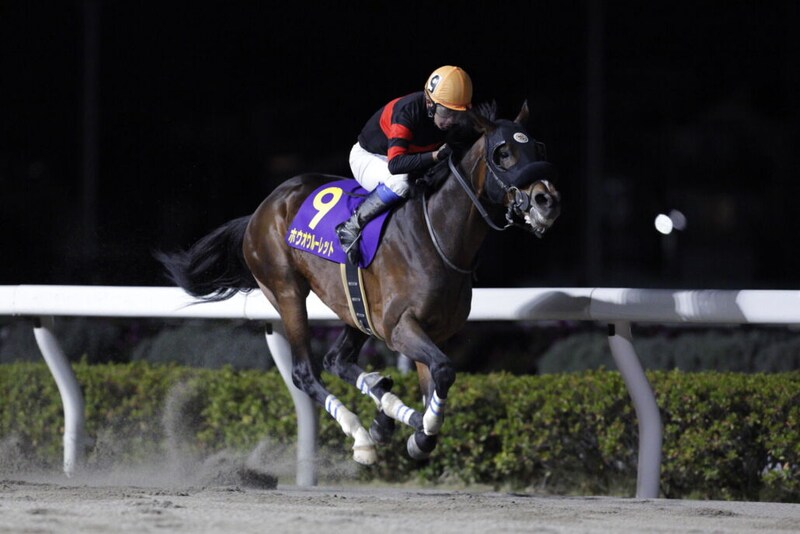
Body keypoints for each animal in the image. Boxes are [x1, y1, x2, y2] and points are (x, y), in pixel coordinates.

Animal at [157, 101, 561, 465]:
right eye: (502, 152)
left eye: (539, 148)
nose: (547, 200)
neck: (438, 236)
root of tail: (262, 209)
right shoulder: (400, 327)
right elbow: (445, 371)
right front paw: (417, 431)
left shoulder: (433, 331)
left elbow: (437, 381)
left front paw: (413, 427)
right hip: (286, 290)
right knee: (305, 372)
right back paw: (363, 436)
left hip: (356, 309)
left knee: (337, 359)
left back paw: (384, 408)